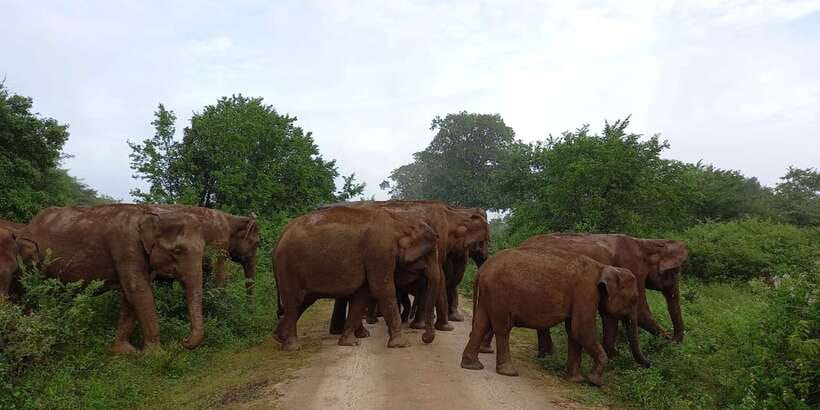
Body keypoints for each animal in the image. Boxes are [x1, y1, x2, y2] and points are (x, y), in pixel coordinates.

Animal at [23, 204, 207, 353]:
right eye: (177, 251)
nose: (183, 340)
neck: (150, 213)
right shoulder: (125, 244)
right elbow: (138, 290)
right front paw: (157, 355)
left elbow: (129, 295)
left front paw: (124, 351)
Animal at [273, 205, 443, 351]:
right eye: (428, 254)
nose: (424, 338)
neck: (399, 219)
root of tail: (281, 236)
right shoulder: (379, 250)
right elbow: (382, 289)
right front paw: (402, 345)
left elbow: (362, 295)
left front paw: (350, 343)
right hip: (288, 267)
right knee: (294, 301)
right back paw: (292, 347)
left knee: (303, 301)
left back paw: (279, 337)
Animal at [328, 200, 489, 334]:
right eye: (483, 242)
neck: (454, 211)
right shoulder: (439, 237)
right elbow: (440, 276)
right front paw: (445, 327)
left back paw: (340, 330)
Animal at [461, 247, 650, 386]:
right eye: (634, 299)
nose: (650, 364)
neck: (604, 267)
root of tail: (482, 270)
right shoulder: (586, 292)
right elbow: (582, 330)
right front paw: (594, 382)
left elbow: (573, 332)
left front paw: (576, 380)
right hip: (500, 294)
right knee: (503, 328)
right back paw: (509, 372)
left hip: (489, 294)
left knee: (481, 324)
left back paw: (472, 366)